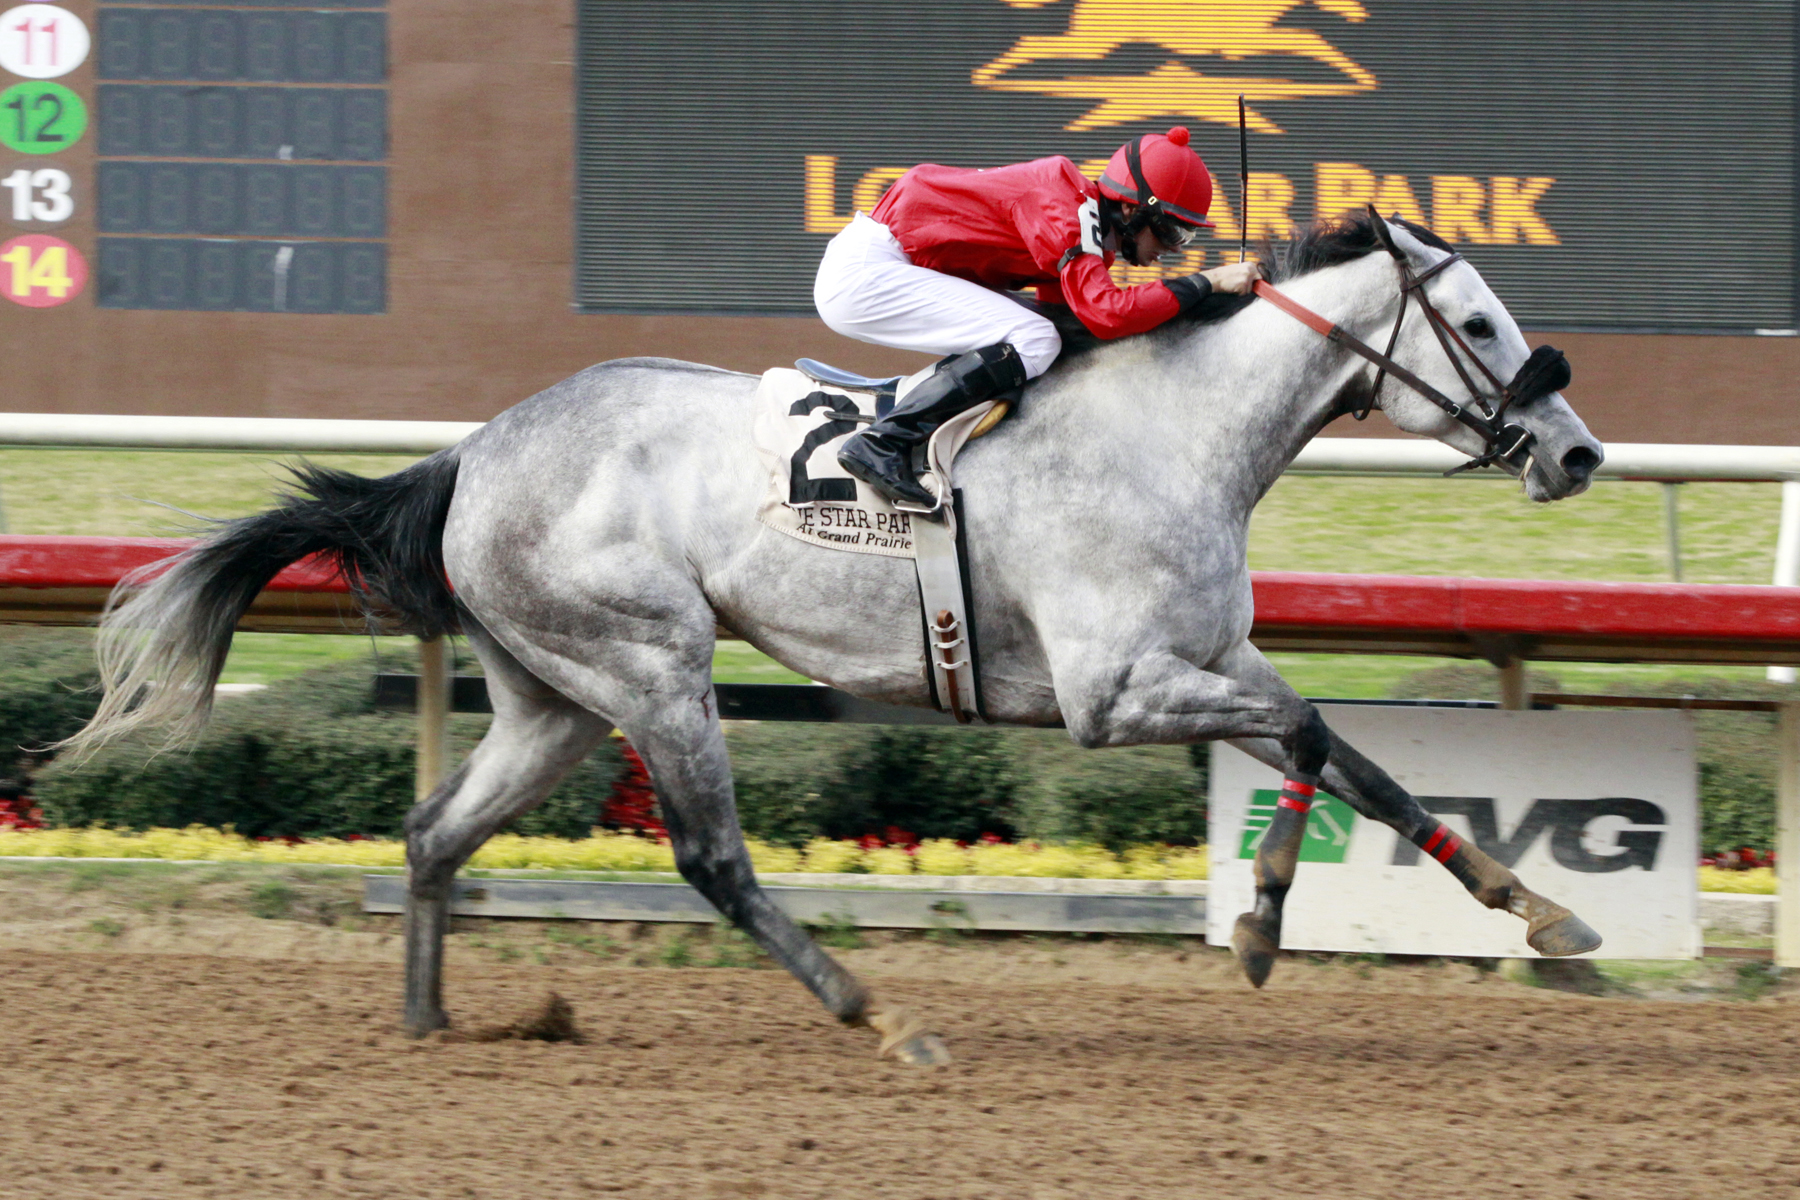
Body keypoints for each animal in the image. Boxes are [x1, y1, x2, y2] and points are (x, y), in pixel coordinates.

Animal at [65, 211, 1605, 1065]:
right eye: (1478, 321)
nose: (1578, 451)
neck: (1175, 435)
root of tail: (473, 452)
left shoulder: (1209, 659)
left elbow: (1354, 757)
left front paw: (1538, 913)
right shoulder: (1114, 691)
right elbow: (1308, 731)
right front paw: (1266, 928)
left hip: (553, 693)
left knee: (436, 830)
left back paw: (432, 1024)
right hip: (652, 667)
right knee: (711, 857)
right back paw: (881, 1016)